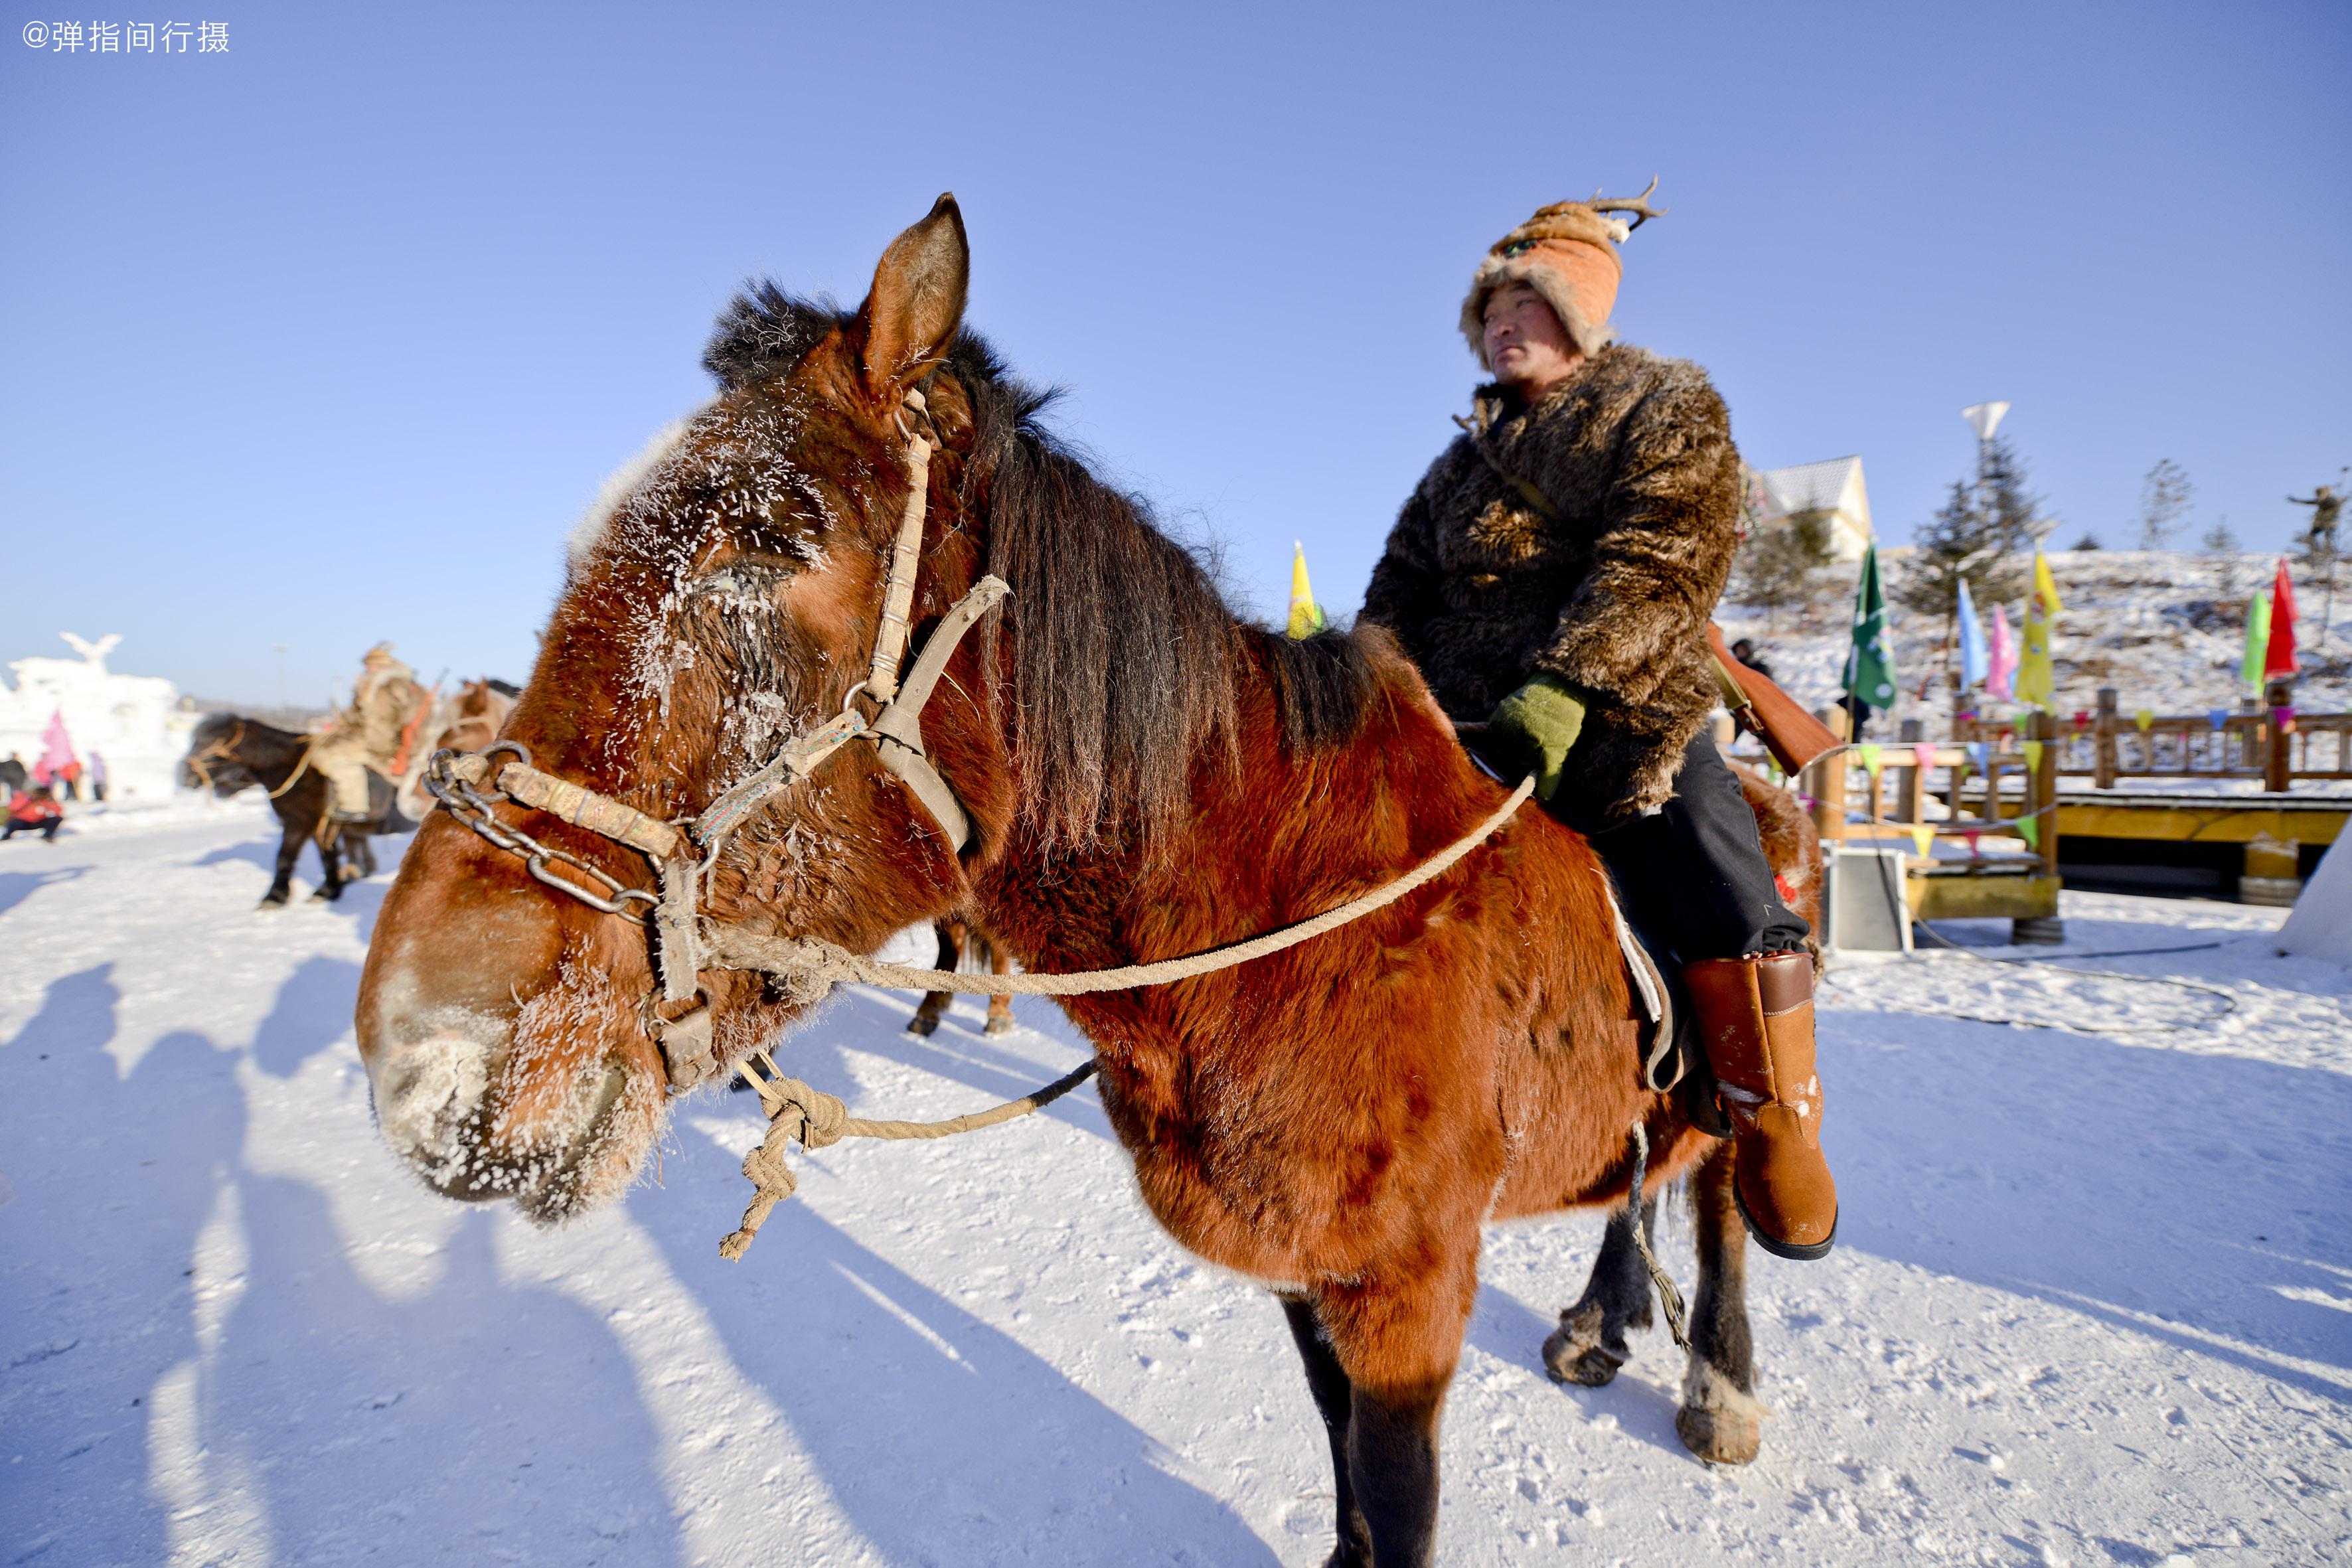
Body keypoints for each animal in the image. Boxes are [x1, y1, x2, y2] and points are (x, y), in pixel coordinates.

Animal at [181, 714, 416, 907]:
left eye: (212, 741)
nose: (185, 776)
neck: (292, 769)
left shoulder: (300, 822)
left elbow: (285, 856)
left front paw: (275, 896)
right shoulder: (321, 825)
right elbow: (328, 857)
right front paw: (329, 890)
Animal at [357, 200, 1816, 1568]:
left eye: (767, 543)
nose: (418, 1050)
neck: (1284, 919)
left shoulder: (1405, 1293)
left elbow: (1392, 1503)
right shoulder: (1307, 1272)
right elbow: (1345, 1480)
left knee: (1723, 1181)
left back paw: (1722, 1374)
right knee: (1644, 1173)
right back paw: (1596, 1320)